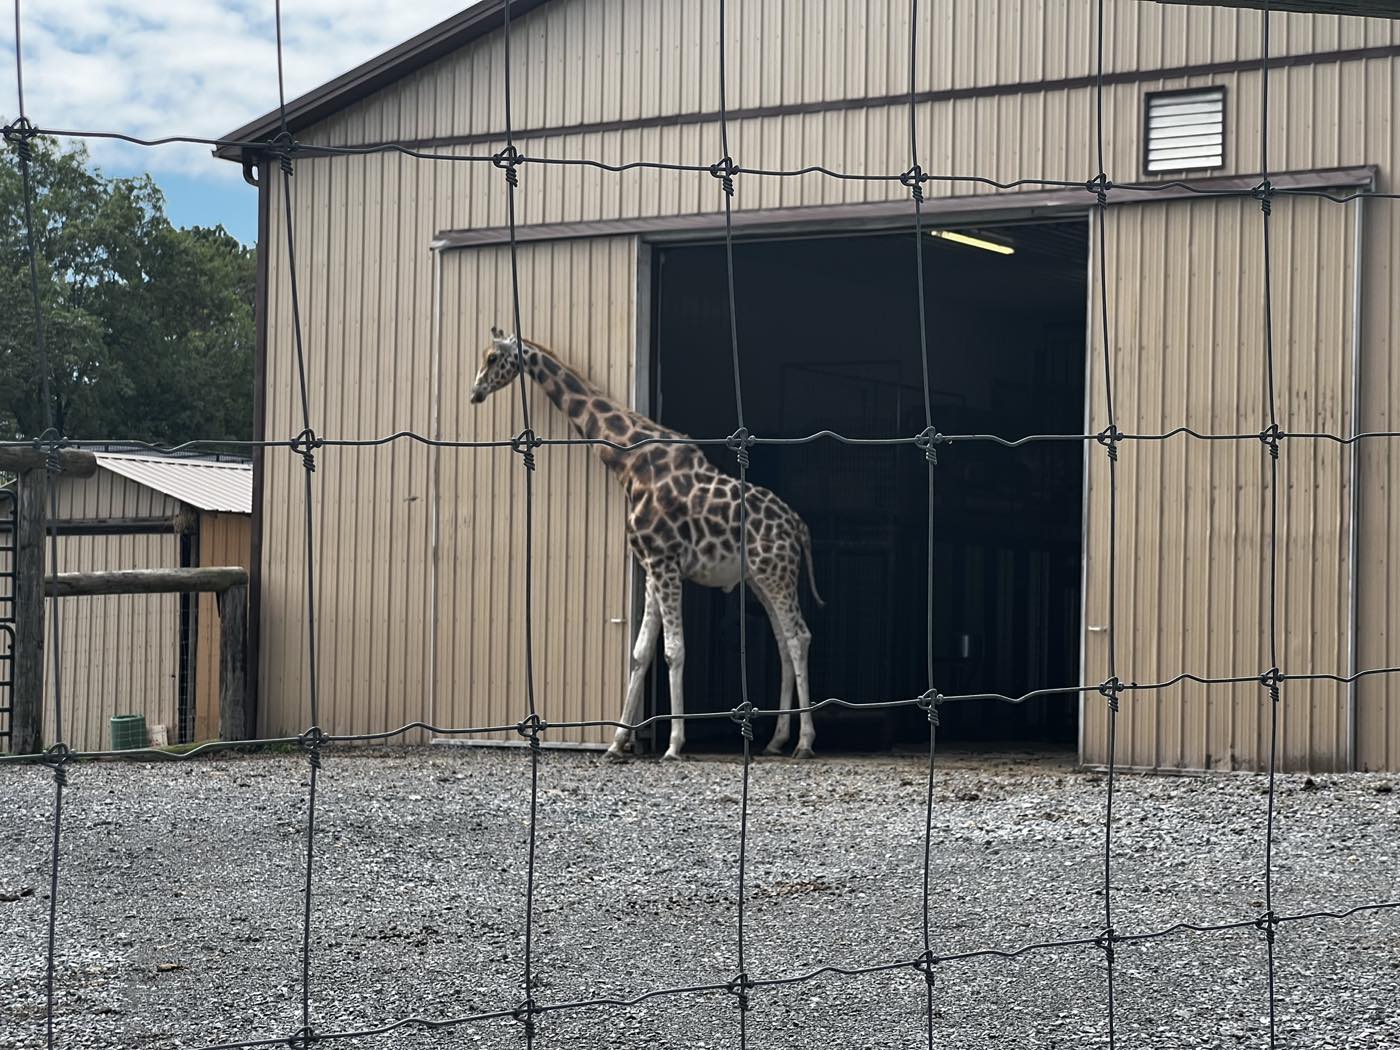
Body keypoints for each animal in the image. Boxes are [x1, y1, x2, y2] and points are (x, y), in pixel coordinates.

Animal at [469, 327, 823, 760]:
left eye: (491, 357)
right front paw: (616, 743)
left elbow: (673, 650)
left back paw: (804, 742)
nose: (475, 392)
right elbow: (639, 655)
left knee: (799, 637)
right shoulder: (652, 565)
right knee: (784, 644)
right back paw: (776, 740)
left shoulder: (664, 562)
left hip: (777, 574)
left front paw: (673, 744)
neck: (630, 465)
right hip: (760, 578)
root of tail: (798, 526)